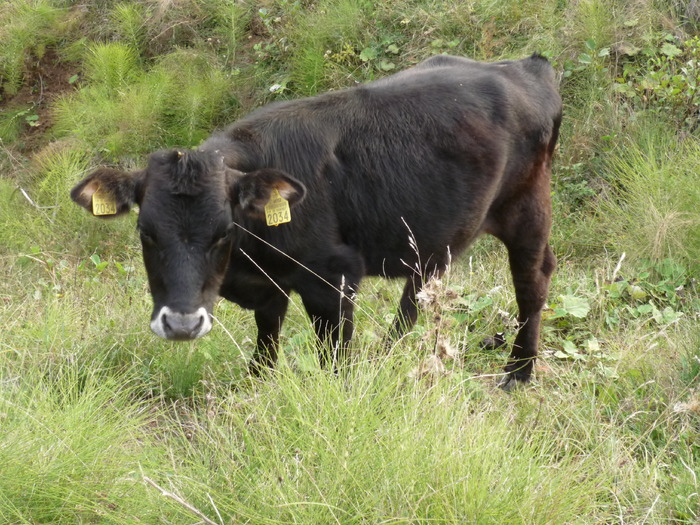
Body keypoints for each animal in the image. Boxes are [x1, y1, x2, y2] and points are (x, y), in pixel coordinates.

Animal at [71, 55, 560, 386]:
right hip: (434, 233)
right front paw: (255, 391)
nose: (182, 325)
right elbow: (266, 348)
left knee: (532, 284)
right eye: (145, 233)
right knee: (418, 290)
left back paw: (518, 372)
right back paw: (388, 354)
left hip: (527, 208)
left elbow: (334, 357)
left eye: (224, 231)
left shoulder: (334, 277)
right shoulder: (269, 287)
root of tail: (525, 66)